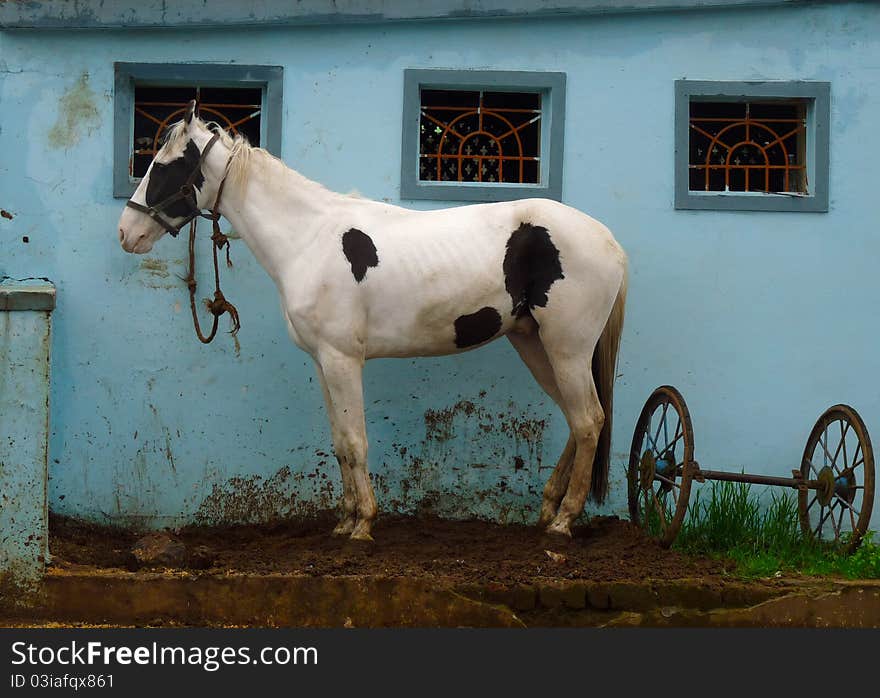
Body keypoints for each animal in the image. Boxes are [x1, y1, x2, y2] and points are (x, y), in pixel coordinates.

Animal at [118, 102, 624, 540]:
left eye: (164, 166)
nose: (126, 232)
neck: (307, 239)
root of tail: (609, 241)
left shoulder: (343, 360)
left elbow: (356, 441)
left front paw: (363, 524)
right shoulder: (322, 362)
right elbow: (340, 442)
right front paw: (345, 521)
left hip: (567, 348)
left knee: (588, 421)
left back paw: (563, 522)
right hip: (534, 343)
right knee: (578, 418)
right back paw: (549, 509)